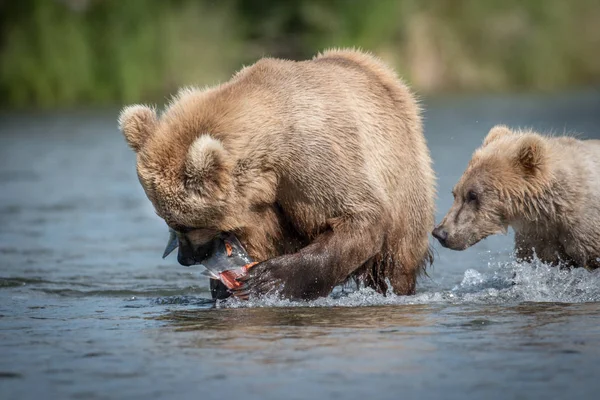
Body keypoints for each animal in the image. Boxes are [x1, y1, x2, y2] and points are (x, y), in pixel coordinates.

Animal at [118, 49, 436, 300]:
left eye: (183, 223)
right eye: (166, 220)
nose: (185, 258)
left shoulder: (314, 160)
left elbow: (361, 215)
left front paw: (268, 280)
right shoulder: (257, 204)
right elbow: (258, 238)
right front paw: (228, 287)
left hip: (404, 180)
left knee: (397, 260)